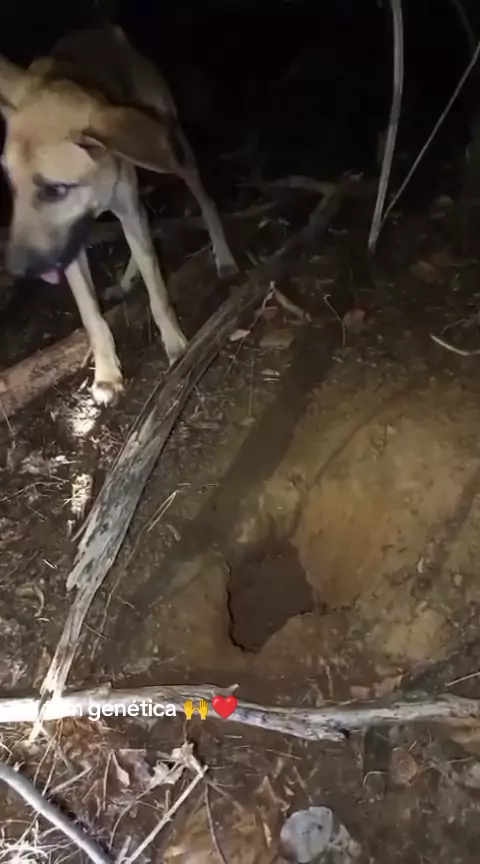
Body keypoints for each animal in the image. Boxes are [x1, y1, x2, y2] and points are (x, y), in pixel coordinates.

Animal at [0, 24, 237, 404]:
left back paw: (224, 257)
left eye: (54, 189)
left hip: (171, 148)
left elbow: (158, 292)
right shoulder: (70, 241)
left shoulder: (125, 207)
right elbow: (91, 315)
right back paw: (127, 281)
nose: (16, 271)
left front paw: (175, 344)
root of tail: (104, 29)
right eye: (9, 182)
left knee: (205, 202)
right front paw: (107, 373)